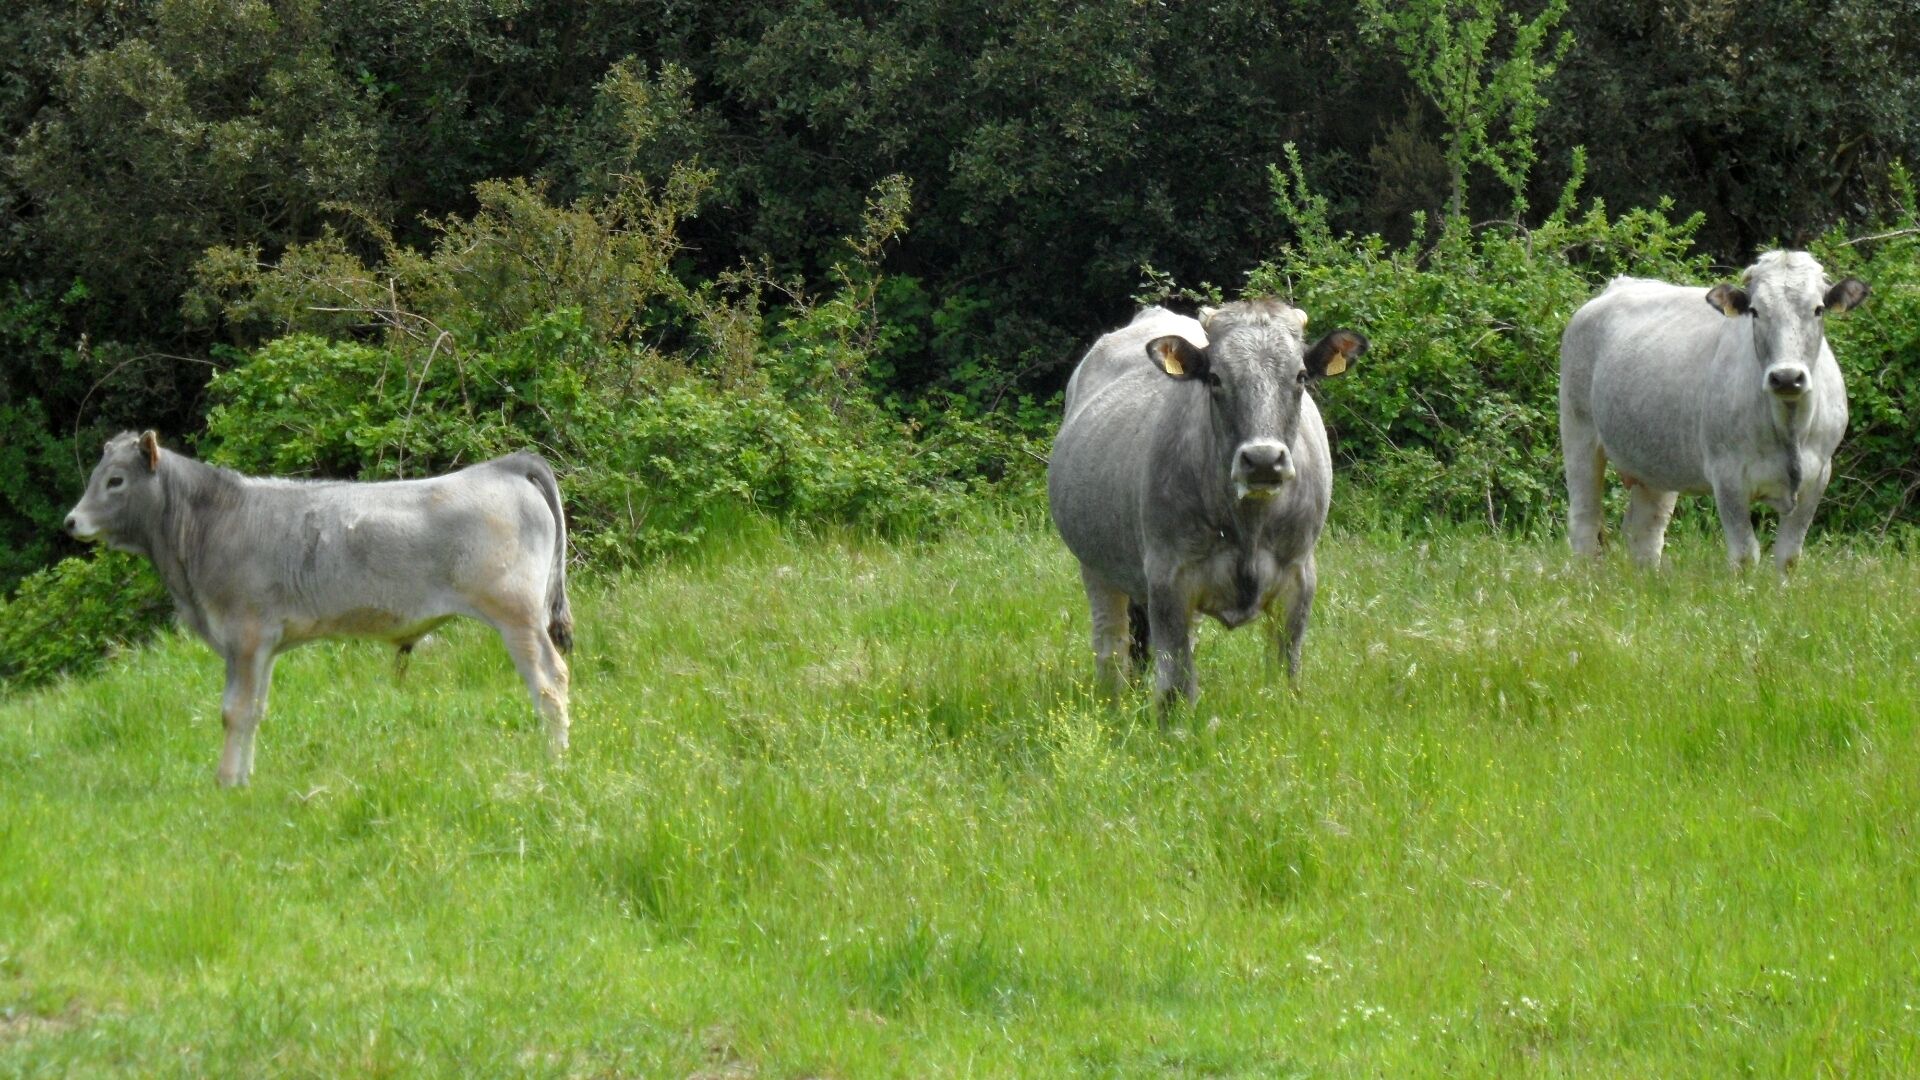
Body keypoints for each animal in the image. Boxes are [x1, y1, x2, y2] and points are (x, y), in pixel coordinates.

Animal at [64, 432, 574, 786]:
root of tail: (503, 466)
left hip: (516, 615)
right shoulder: (264, 645)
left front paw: (225, 781)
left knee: (549, 683)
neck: (209, 525)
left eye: (115, 480)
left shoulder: (244, 634)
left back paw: (555, 761)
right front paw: (243, 779)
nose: (71, 521)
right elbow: (255, 709)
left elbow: (233, 711)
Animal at [1048, 301, 1368, 708]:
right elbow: (1175, 688)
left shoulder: (1299, 578)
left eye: (1299, 376)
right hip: (1095, 566)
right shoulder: (1168, 580)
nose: (1263, 460)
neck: (1248, 525)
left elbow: (1286, 676)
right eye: (1215, 378)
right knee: (1111, 645)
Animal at [1559, 251, 1868, 572]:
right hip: (1577, 433)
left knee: (1645, 531)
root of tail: (1618, 286)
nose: (1786, 377)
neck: (1789, 425)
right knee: (1584, 522)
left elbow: (1788, 556)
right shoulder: (1728, 476)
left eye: (1818, 309)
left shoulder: (1817, 476)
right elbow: (1745, 555)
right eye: (1755, 311)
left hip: (1655, 464)